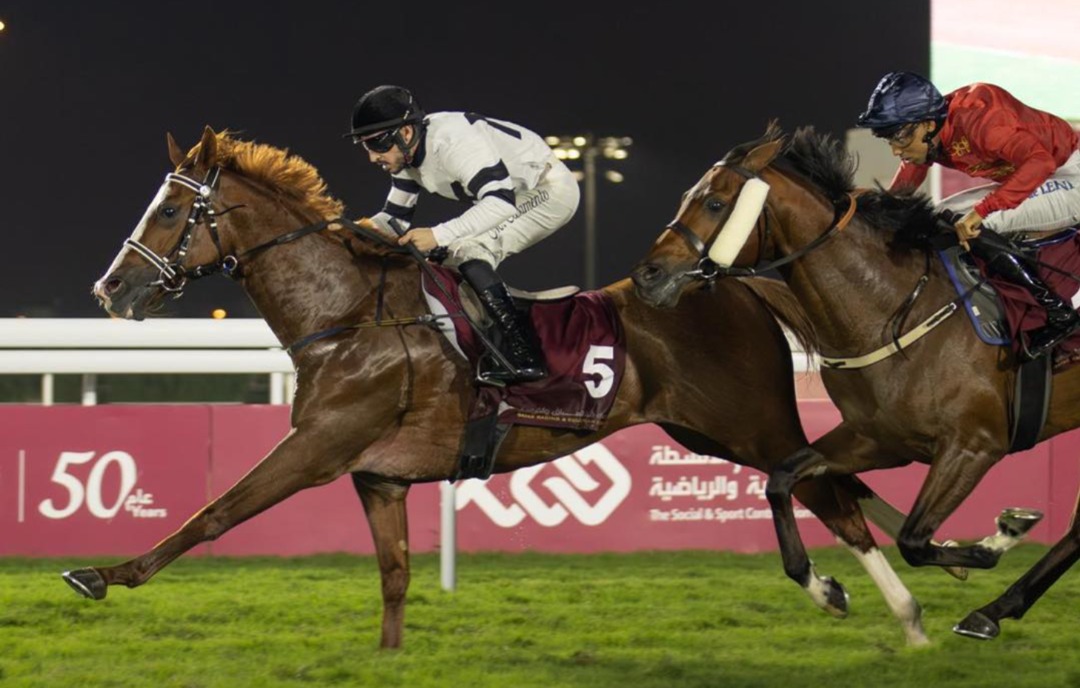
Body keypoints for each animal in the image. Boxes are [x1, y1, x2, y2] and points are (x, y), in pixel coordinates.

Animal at [74, 126, 933, 648]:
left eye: (173, 210)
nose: (109, 290)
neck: (347, 313)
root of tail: (737, 285)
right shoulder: (379, 476)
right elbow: (394, 579)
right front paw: (389, 659)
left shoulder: (319, 445)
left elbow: (216, 512)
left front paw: (103, 574)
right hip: (706, 431)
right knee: (828, 489)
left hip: (754, 424)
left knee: (830, 496)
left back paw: (895, 612)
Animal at [631, 122, 1080, 640]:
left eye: (715, 203)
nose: (647, 276)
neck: (893, 308)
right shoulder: (878, 437)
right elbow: (783, 479)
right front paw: (825, 589)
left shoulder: (975, 444)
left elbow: (914, 541)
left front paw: (1001, 536)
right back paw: (991, 612)